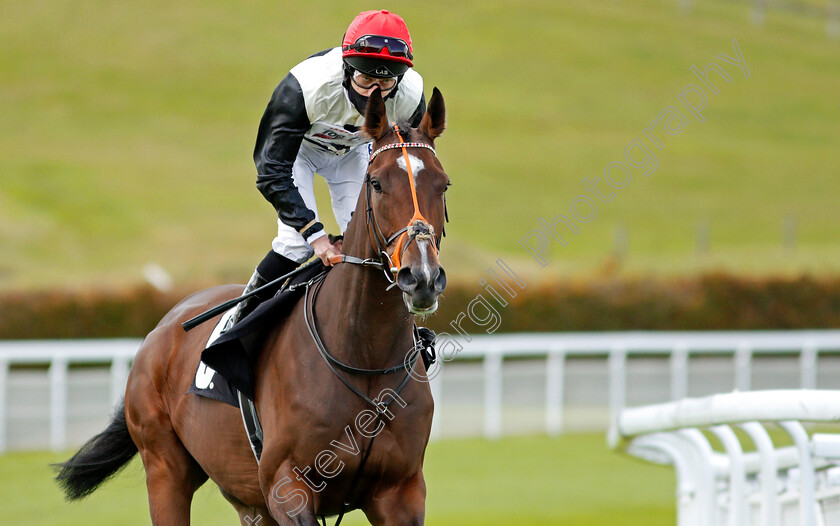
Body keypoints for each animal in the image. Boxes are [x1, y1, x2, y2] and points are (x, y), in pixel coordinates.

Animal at [55, 87, 450, 526]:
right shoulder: (286, 486)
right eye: (377, 183)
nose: (422, 277)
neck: (363, 358)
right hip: (165, 468)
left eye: (443, 185)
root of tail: (163, 327)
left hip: (246, 497)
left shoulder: (401, 491)